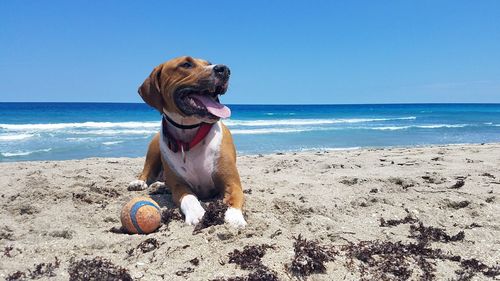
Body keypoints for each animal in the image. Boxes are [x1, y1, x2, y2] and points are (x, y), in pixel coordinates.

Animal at [129, 55, 246, 226]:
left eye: (209, 64)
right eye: (186, 64)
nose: (224, 69)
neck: (189, 136)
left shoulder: (232, 182)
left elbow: (235, 196)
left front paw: (234, 216)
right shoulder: (179, 185)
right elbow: (188, 197)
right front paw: (197, 213)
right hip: (154, 149)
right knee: (147, 170)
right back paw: (141, 182)